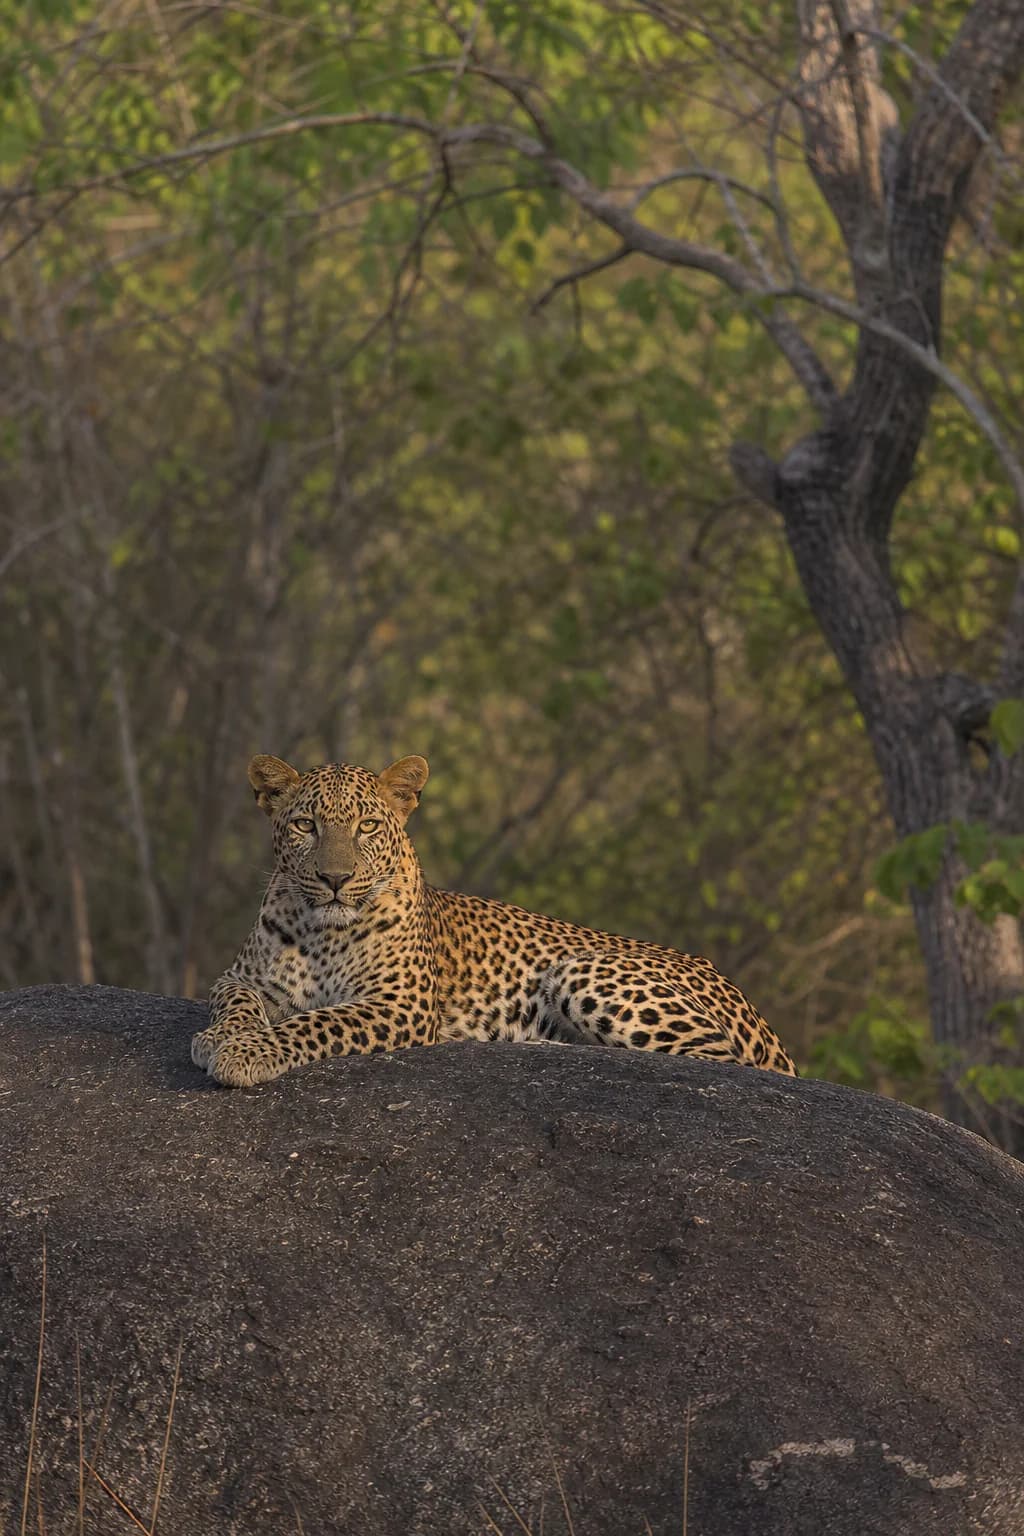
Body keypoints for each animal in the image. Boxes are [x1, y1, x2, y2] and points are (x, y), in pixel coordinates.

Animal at [191, 753, 798, 1087]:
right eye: (305, 826)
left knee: (717, 1061)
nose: (335, 879)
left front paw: (246, 1053)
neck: (321, 930)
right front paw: (221, 1038)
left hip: (584, 970)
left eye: (367, 826)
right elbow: (237, 1003)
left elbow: (315, 1022)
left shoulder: (400, 1004)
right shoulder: (240, 977)